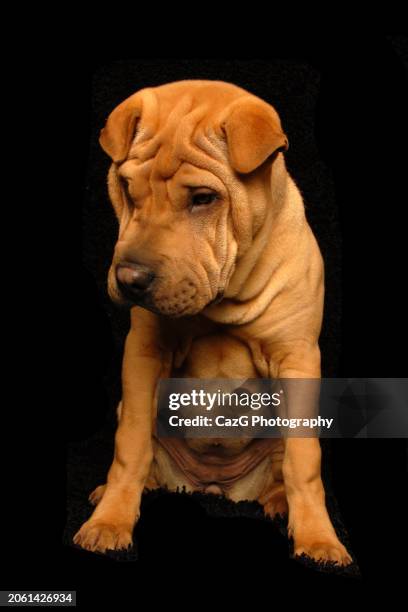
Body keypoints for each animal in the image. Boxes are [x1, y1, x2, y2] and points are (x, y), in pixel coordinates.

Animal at [75, 80, 352, 564]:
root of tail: (212, 487)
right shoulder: (144, 355)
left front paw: (319, 539)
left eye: (203, 199)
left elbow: (304, 463)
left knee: (283, 468)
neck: (225, 298)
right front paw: (110, 521)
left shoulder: (296, 360)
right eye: (127, 188)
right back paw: (110, 491)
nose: (129, 279)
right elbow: (130, 446)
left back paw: (279, 503)